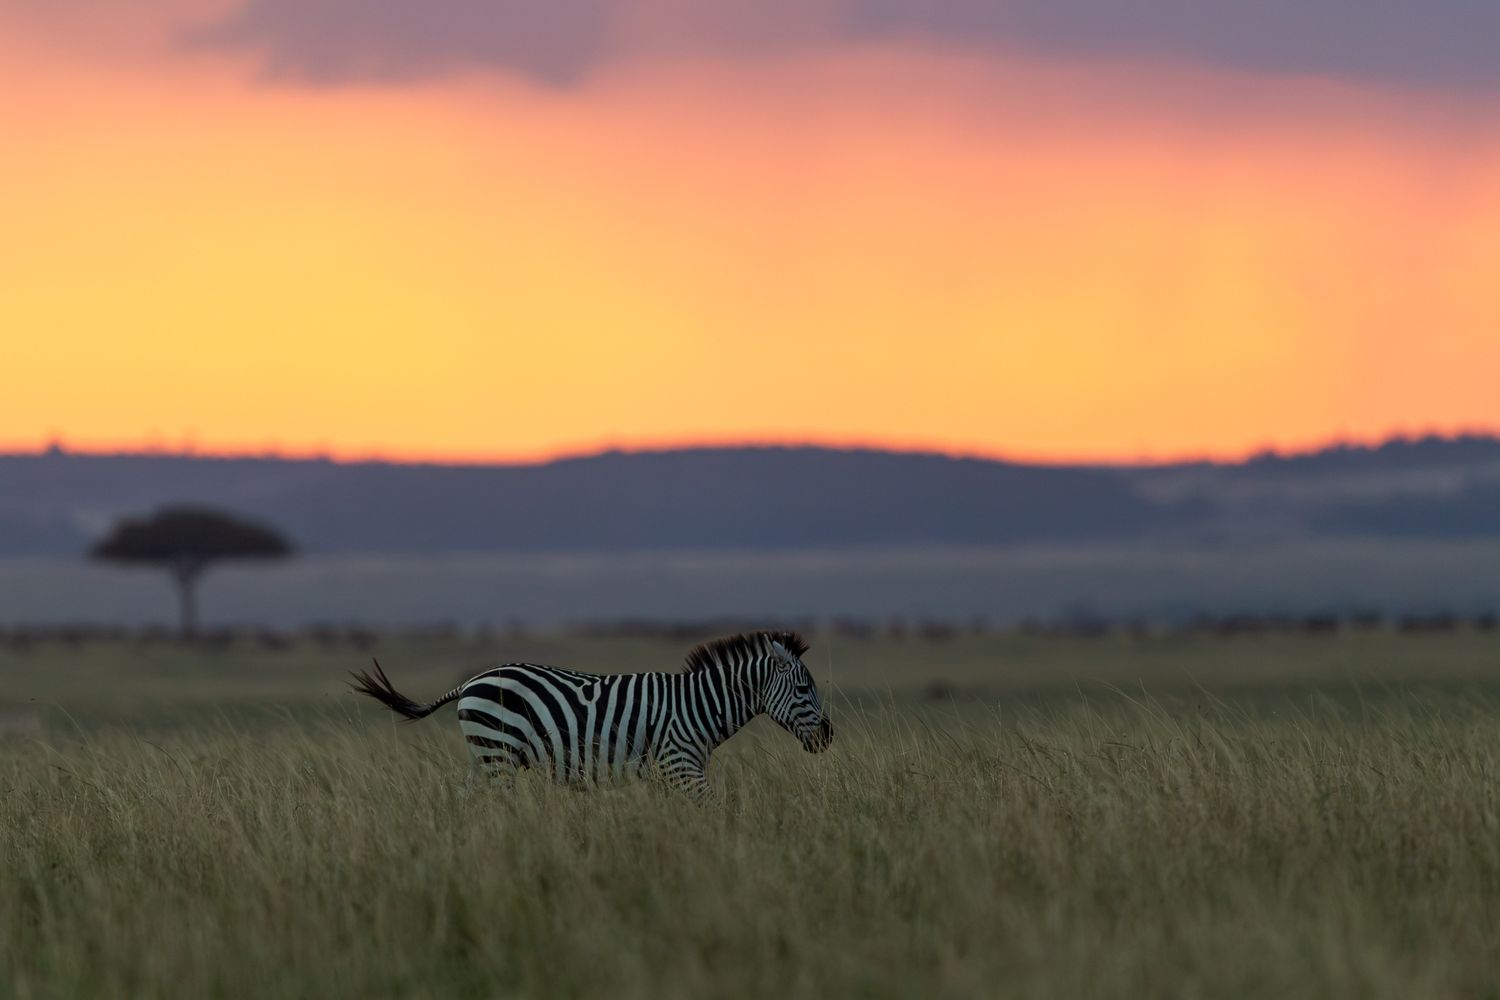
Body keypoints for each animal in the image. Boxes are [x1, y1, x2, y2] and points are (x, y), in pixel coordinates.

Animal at [349, 631, 833, 802]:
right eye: (803, 689)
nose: (829, 737)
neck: (698, 706)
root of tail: (469, 682)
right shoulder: (680, 764)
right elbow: (715, 808)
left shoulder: (669, 771)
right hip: (499, 754)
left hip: (483, 756)